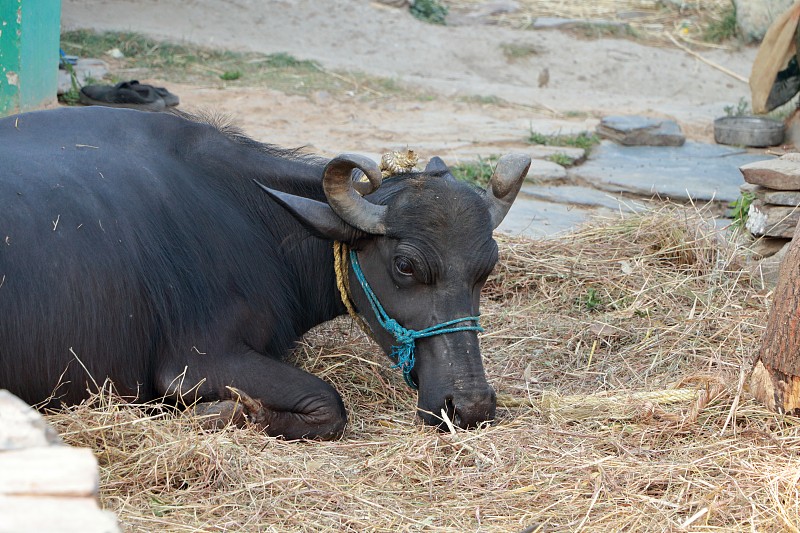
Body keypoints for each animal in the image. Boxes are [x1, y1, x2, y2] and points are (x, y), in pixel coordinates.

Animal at [1, 106, 532, 438]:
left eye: (488, 266)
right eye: (405, 265)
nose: (470, 405)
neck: (252, 213)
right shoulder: (197, 359)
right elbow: (329, 404)